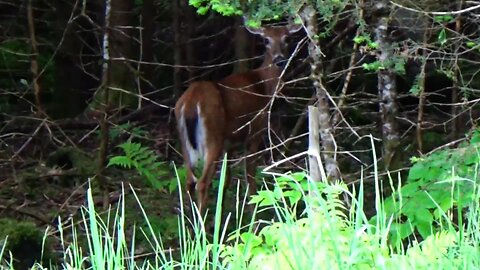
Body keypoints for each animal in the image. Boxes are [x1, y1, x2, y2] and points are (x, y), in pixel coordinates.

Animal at [174, 20, 302, 213]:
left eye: (287, 38)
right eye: (265, 40)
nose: (279, 60)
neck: (263, 85)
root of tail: (190, 103)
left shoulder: (230, 144)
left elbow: (226, 181)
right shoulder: (255, 132)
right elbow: (250, 177)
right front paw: (254, 213)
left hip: (185, 141)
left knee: (189, 181)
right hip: (212, 137)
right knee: (202, 183)